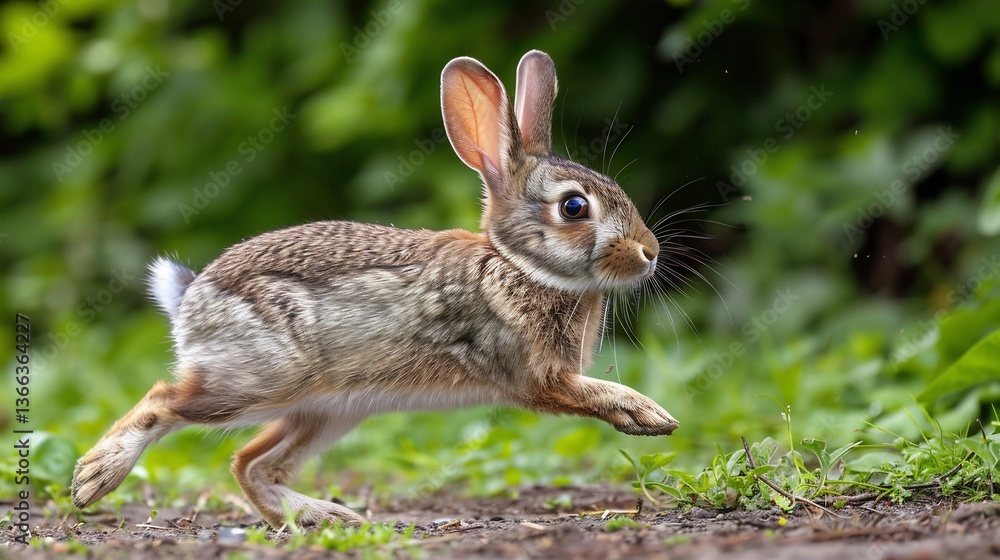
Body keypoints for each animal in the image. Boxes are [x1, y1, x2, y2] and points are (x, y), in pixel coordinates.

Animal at [70, 50, 678, 528]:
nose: (650, 252)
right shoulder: (536, 376)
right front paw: (649, 415)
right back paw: (94, 478)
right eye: (574, 207)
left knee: (250, 463)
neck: (517, 264)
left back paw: (322, 517)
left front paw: (653, 420)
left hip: (327, 410)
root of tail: (191, 299)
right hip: (257, 380)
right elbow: (590, 392)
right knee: (165, 402)